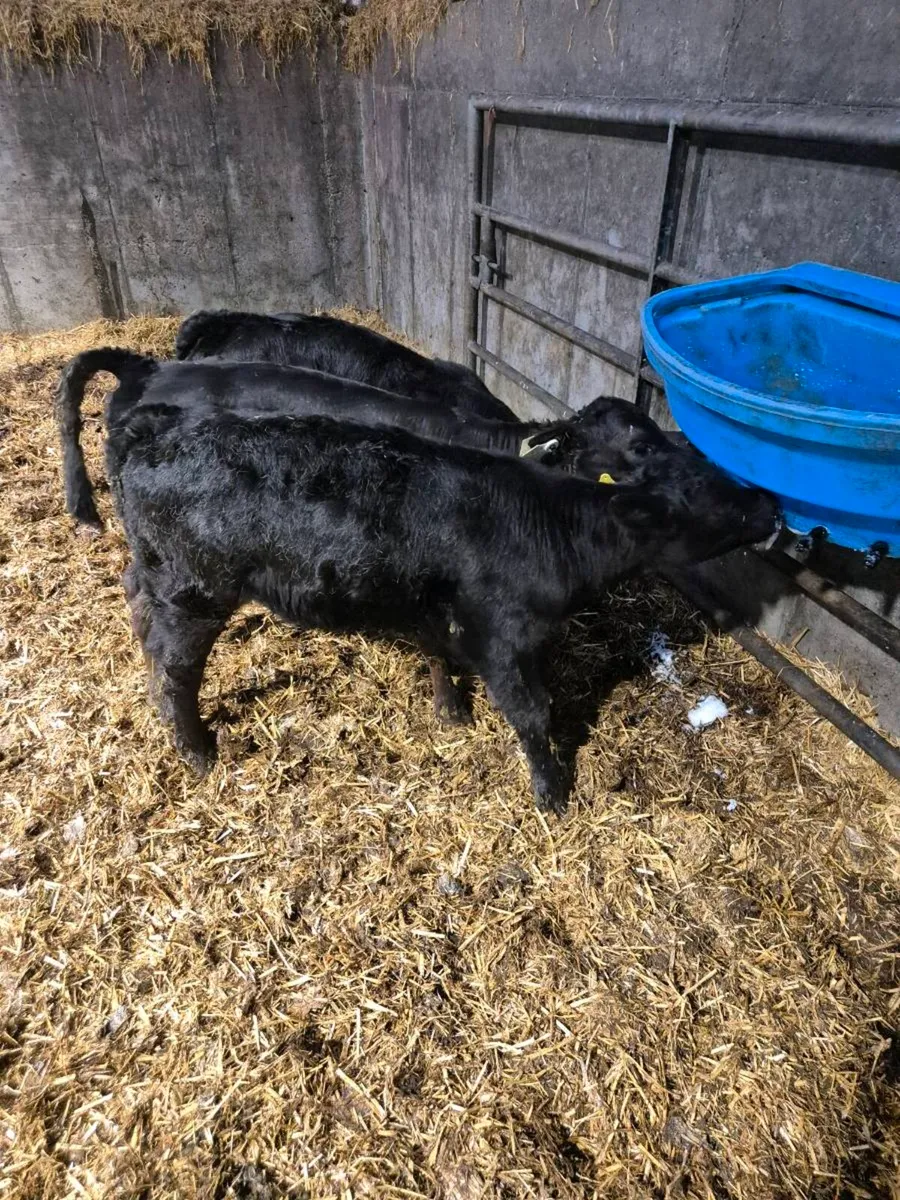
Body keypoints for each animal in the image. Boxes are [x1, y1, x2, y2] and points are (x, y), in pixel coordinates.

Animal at [79, 362, 779, 811]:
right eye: (709, 496)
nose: (770, 502)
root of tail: (155, 426)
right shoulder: (503, 635)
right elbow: (533, 712)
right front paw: (552, 793)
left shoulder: (436, 604)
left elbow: (441, 653)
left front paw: (451, 712)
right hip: (194, 590)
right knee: (175, 669)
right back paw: (198, 751)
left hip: (157, 573)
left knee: (140, 615)